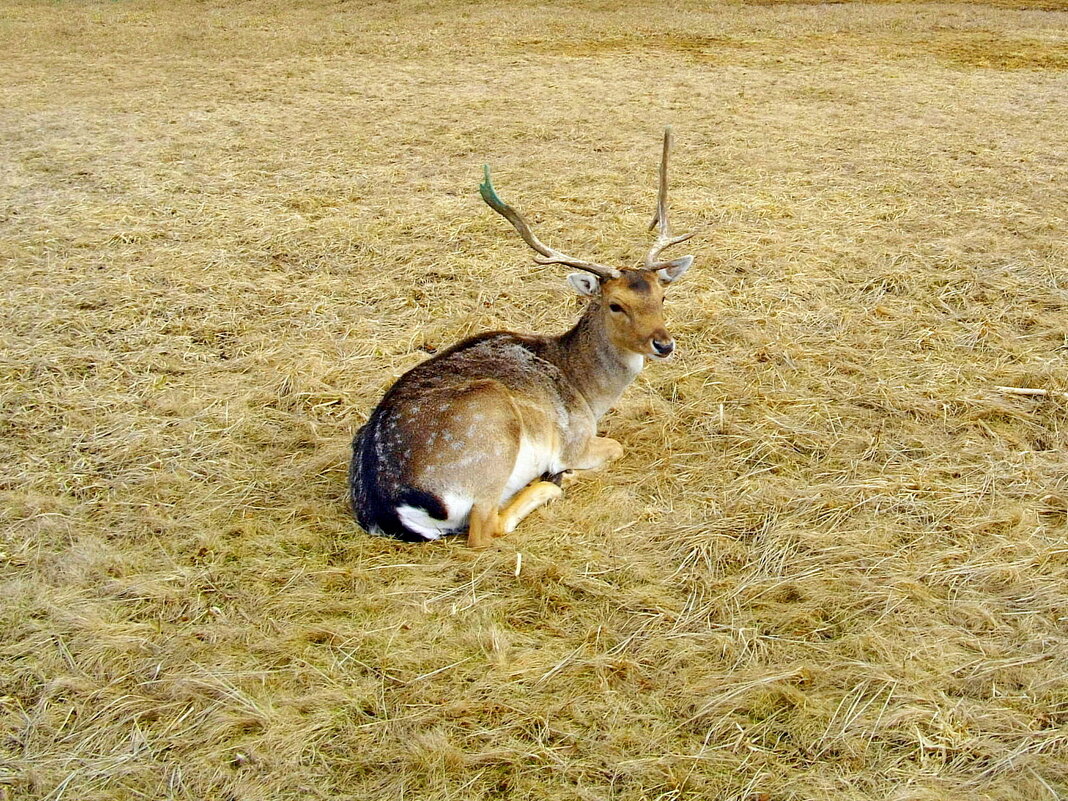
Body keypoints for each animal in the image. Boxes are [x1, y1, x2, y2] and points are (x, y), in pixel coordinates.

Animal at [350, 127, 696, 551]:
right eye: (615, 304)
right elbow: (615, 446)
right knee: (484, 529)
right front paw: (564, 473)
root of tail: (391, 508)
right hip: (490, 432)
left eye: (662, 296)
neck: (588, 393)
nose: (664, 344)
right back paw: (549, 485)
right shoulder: (575, 438)